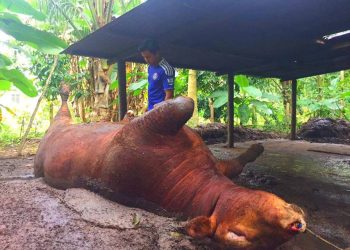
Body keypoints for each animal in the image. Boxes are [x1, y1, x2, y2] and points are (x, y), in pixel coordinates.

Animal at [34, 89, 304, 249]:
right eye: (239, 235)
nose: (295, 226)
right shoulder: (143, 136)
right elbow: (184, 104)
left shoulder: (211, 162)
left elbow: (234, 164)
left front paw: (256, 149)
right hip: (49, 142)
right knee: (61, 114)